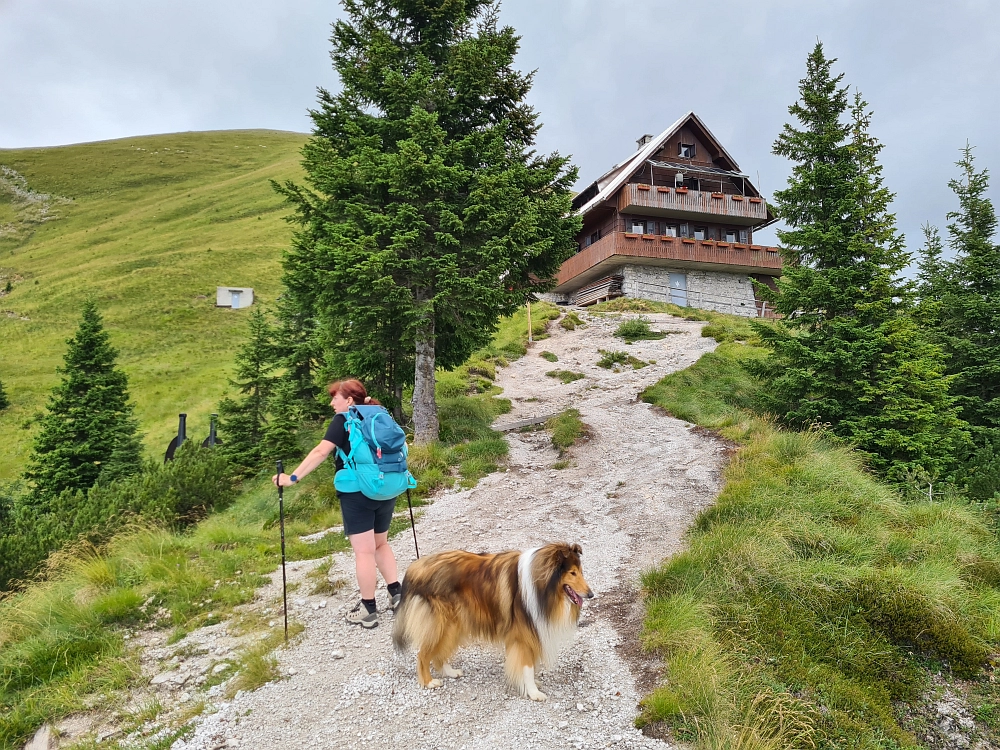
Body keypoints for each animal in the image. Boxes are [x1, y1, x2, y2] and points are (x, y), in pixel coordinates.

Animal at [390, 544, 592, 704]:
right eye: (572, 573)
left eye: (581, 572)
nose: (591, 594)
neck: (540, 586)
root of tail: (415, 567)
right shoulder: (523, 636)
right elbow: (527, 666)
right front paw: (533, 692)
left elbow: (530, 666)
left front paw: (532, 684)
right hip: (440, 624)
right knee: (423, 654)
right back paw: (429, 682)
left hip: (453, 625)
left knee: (439, 653)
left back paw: (451, 672)